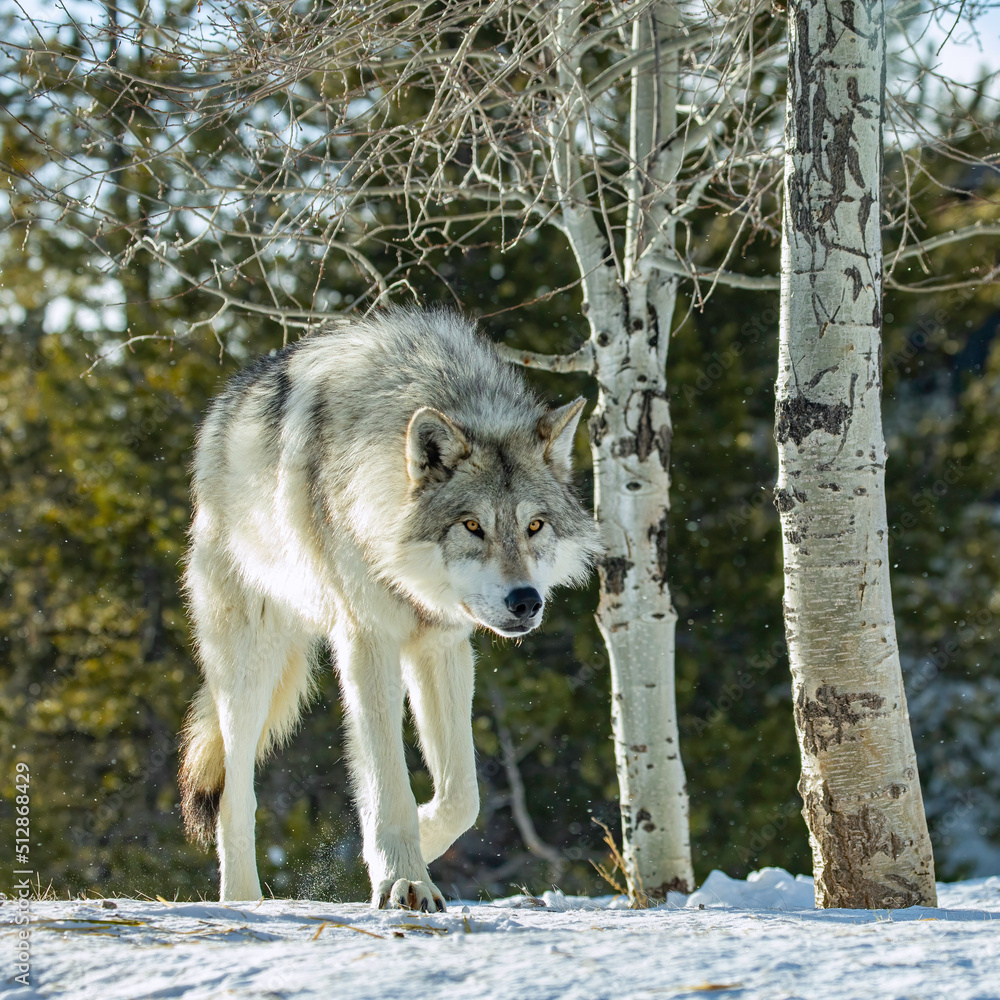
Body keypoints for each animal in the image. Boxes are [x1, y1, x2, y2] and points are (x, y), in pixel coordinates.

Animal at [178, 308, 601, 910]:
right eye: (472, 525)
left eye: (535, 525)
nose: (525, 601)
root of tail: (220, 414)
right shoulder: (367, 641)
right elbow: (387, 781)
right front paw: (404, 880)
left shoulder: (443, 644)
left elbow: (463, 795)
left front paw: (417, 842)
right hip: (249, 669)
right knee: (235, 796)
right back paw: (242, 900)